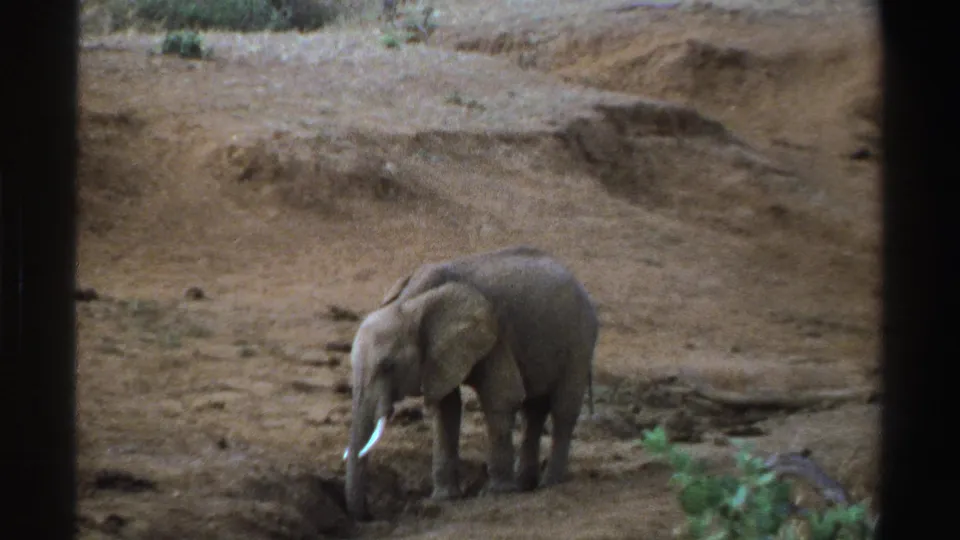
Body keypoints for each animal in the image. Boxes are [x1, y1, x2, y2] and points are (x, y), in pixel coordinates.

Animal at [342, 245, 599, 519]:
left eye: (388, 366)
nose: (367, 514)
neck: (409, 304)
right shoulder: (439, 355)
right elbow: (446, 408)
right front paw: (444, 498)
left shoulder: (494, 334)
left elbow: (502, 397)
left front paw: (496, 493)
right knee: (534, 410)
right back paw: (525, 485)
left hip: (580, 341)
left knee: (563, 409)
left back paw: (549, 483)